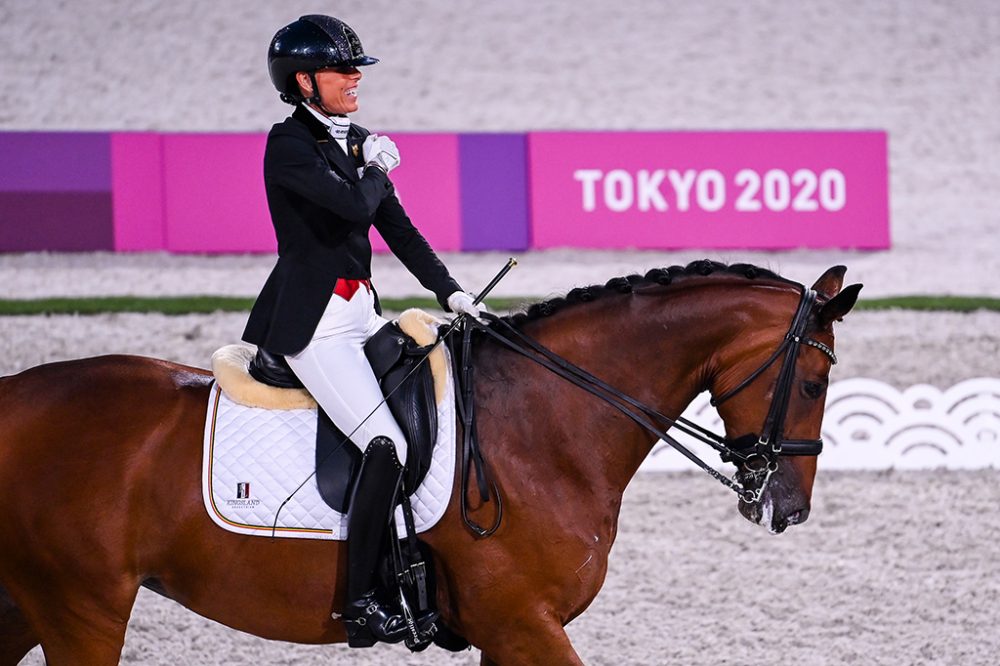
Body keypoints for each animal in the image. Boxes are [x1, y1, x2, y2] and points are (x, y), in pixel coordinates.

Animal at [0, 260, 860, 664]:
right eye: (814, 383)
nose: (788, 507)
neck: (545, 423)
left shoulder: (508, 632)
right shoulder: (523, 624)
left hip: (28, 604)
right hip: (81, 607)